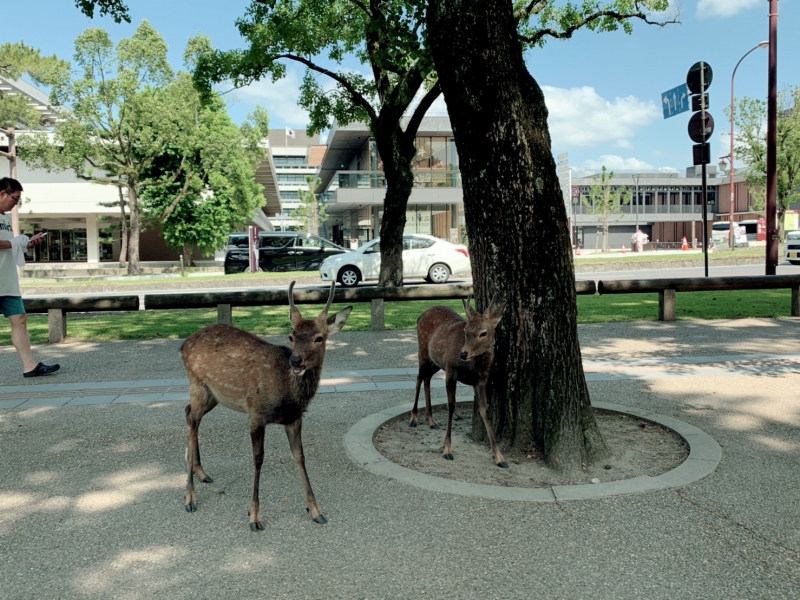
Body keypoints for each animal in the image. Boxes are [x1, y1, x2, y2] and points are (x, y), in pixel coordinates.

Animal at [181, 282, 350, 528]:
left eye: (319, 338)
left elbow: (300, 457)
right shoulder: (256, 412)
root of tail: (183, 346)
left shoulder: (294, 418)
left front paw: (315, 510)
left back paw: (201, 472)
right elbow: (258, 459)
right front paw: (254, 516)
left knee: (188, 414)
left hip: (214, 395)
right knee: (192, 420)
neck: (286, 392)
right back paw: (189, 496)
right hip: (198, 384)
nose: (295, 361)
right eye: (291, 336)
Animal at [410, 296, 510, 468]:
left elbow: (485, 410)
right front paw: (447, 450)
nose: (463, 353)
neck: (473, 367)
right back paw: (414, 418)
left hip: (436, 361)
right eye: (465, 331)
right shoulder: (451, 371)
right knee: (418, 377)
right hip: (423, 350)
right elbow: (451, 405)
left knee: (426, 377)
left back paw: (431, 420)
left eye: (483, 333)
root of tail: (420, 316)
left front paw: (499, 457)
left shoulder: (481, 380)